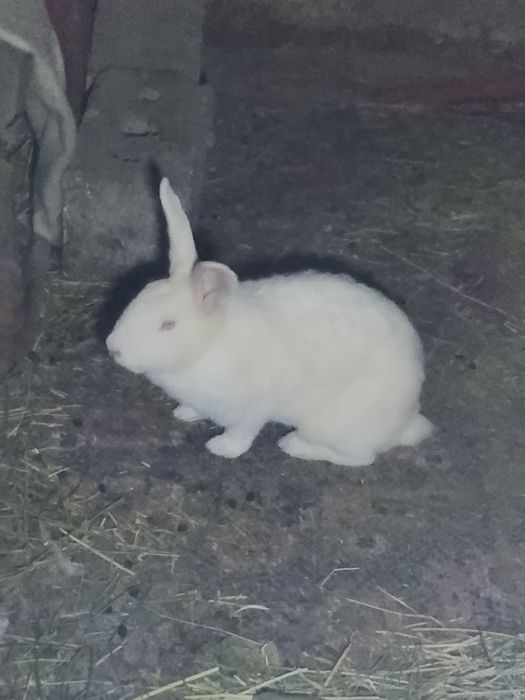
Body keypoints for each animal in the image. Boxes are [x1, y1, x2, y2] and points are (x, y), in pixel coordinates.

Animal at [106, 179, 433, 467]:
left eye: (168, 324)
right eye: (138, 296)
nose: (113, 348)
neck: (210, 343)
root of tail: (405, 421)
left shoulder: (251, 409)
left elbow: (241, 434)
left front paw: (221, 448)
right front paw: (185, 413)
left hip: (335, 424)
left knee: (360, 458)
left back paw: (293, 445)